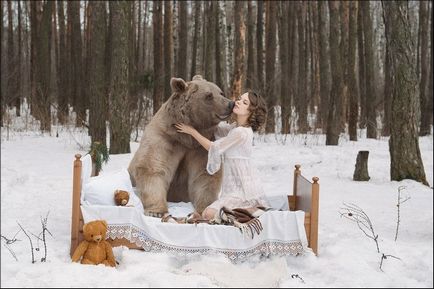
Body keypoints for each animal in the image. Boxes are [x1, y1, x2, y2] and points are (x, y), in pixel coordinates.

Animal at [127, 74, 234, 216]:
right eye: (209, 96)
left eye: (221, 92)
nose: (230, 104)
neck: (186, 137)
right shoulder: (165, 139)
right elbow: (153, 167)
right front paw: (156, 211)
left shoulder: (200, 147)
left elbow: (204, 174)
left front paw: (204, 208)